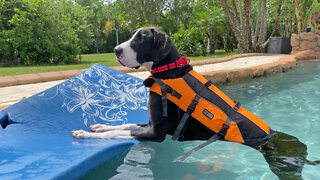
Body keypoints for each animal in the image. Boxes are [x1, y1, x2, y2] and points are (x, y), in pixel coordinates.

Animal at [73, 27, 320, 180]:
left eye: (141, 38)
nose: (115, 50)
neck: (169, 73)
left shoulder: (156, 133)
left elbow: (118, 133)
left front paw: (86, 134)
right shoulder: (150, 125)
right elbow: (123, 125)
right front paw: (99, 126)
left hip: (285, 167)